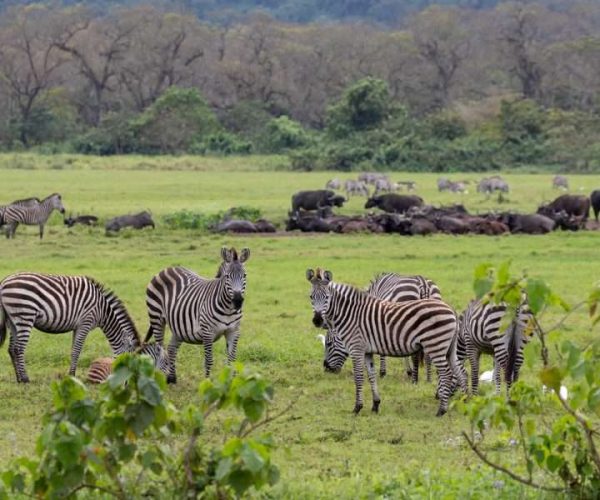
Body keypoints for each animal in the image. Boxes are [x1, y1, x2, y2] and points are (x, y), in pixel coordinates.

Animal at [0, 274, 142, 382]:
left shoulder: (77, 327)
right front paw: (72, 375)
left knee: (12, 349)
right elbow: (76, 351)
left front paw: (71, 375)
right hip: (25, 315)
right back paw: (25, 379)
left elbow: (73, 350)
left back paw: (18, 379)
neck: (103, 311)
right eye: (131, 356)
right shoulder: (85, 323)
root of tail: (4, 282)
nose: (130, 379)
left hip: (12, 320)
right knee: (19, 348)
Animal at [145, 246, 251, 382]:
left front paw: (232, 382)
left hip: (178, 326)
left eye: (244, 275)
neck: (228, 309)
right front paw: (207, 382)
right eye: (227, 276)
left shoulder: (234, 332)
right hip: (156, 317)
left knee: (171, 348)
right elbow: (209, 361)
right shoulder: (207, 332)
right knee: (160, 349)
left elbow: (232, 360)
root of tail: (167, 268)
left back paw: (172, 378)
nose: (237, 301)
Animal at [308, 268, 466, 416]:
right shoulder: (368, 351)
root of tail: (451, 309)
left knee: (446, 373)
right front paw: (375, 405)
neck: (351, 315)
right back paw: (465, 401)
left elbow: (359, 377)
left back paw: (441, 410)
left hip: (436, 345)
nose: (317, 320)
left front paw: (357, 407)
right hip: (448, 348)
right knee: (460, 371)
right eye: (310, 297)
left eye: (329, 344)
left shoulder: (356, 349)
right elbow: (371, 376)